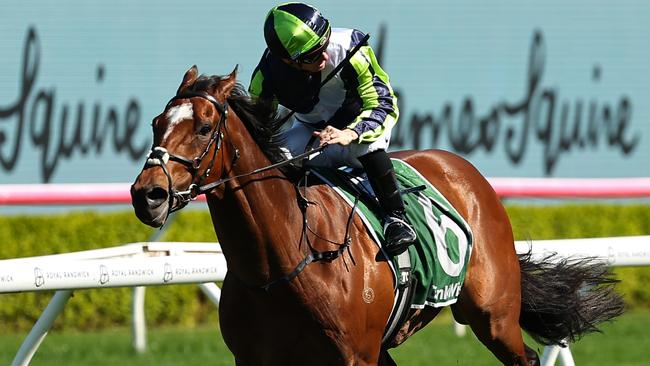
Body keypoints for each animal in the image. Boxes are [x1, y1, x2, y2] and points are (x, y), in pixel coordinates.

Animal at [129, 66, 620, 366]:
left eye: (204, 128)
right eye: (156, 123)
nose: (146, 195)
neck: (284, 262)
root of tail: (465, 171)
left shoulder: (354, 356)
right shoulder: (256, 359)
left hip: (493, 317)